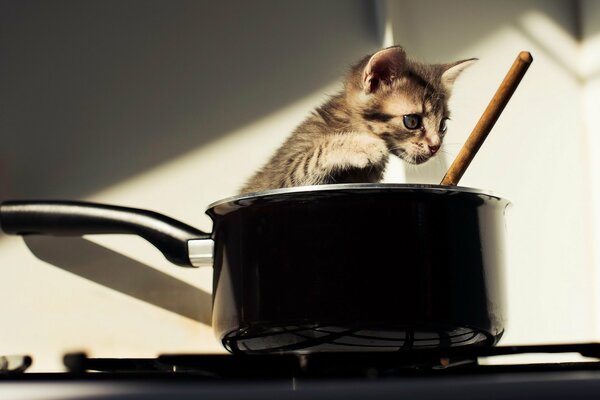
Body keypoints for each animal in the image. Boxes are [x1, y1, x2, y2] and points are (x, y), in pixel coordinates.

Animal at [238, 47, 474, 194]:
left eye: (442, 125)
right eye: (412, 121)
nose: (435, 146)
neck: (348, 123)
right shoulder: (282, 179)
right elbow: (308, 160)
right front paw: (362, 146)